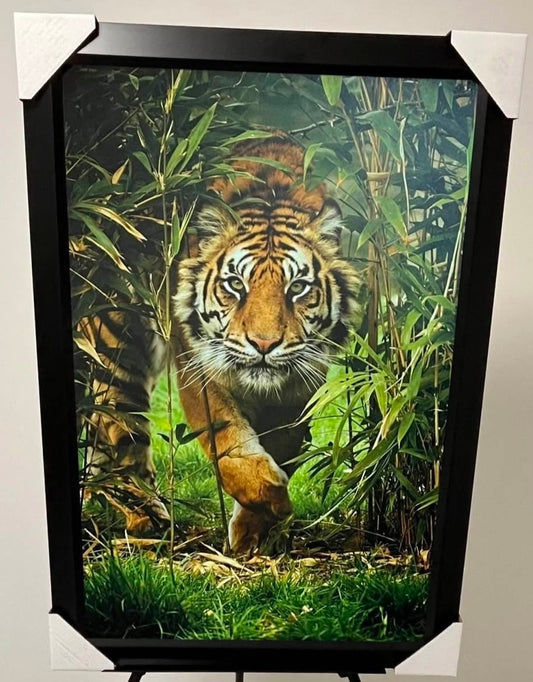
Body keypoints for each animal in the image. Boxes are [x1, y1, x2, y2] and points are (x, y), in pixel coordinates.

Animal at [82, 134, 363, 553]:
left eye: (297, 288)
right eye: (235, 284)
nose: (264, 344)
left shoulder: (301, 383)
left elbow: (284, 445)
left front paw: (254, 533)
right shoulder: (199, 367)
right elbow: (226, 440)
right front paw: (271, 497)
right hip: (119, 344)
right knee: (119, 429)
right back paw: (146, 518)